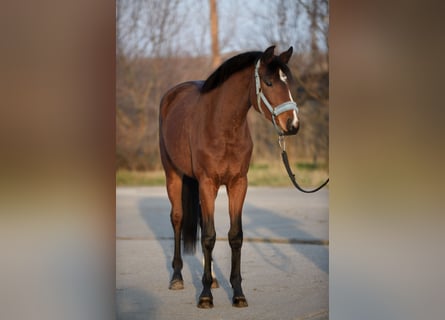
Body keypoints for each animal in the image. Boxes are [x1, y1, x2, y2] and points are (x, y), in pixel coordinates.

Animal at [159, 45, 298, 308]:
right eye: (269, 82)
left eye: (289, 82)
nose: (293, 124)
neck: (222, 128)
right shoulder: (207, 182)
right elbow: (209, 236)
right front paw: (205, 296)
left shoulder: (238, 184)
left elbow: (235, 236)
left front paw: (238, 293)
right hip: (173, 174)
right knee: (177, 219)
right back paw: (177, 276)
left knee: (200, 222)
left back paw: (212, 278)